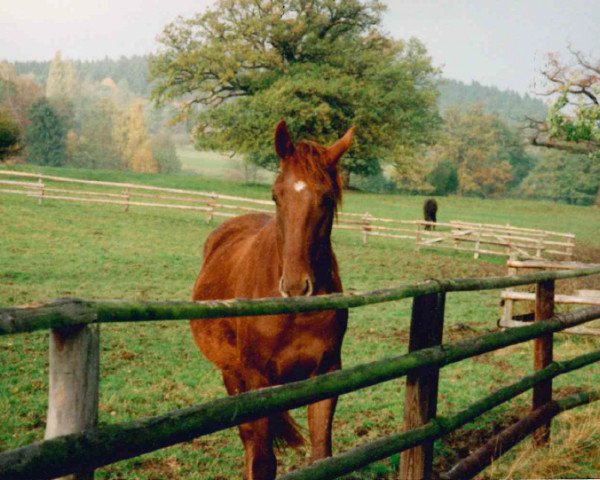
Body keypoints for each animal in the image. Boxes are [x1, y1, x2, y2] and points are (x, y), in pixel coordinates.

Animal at [190, 121, 354, 480]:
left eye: (326, 197)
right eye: (275, 196)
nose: (295, 286)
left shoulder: (326, 373)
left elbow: (322, 456)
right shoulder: (256, 380)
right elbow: (263, 461)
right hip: (233, 377)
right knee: (250, 446)